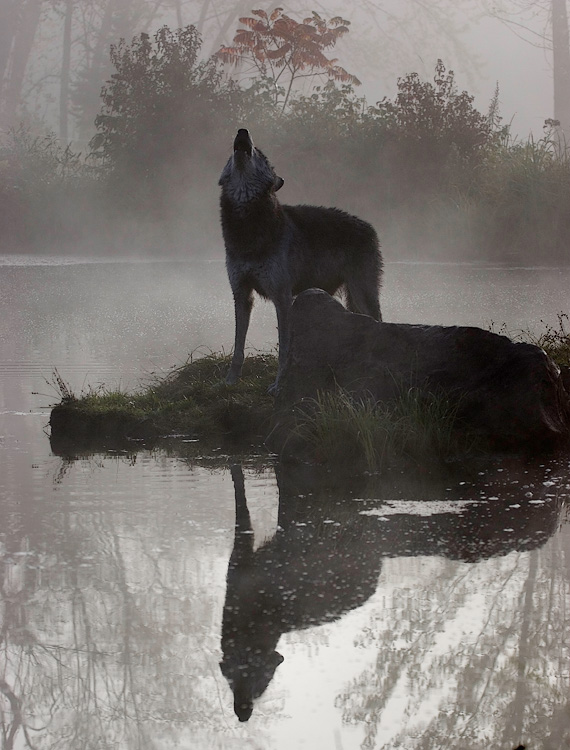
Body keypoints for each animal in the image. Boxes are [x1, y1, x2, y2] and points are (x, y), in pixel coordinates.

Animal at [217, 131, 382, 394]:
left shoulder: (282, 297)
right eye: (231, 154)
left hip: (362, 292)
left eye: (260, 153)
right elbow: (238, 346)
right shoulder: (241, 295)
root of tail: (369, 227)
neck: (247, 228)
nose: (242, 131)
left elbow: (284, 348)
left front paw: (279, 385)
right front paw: (231, 381)